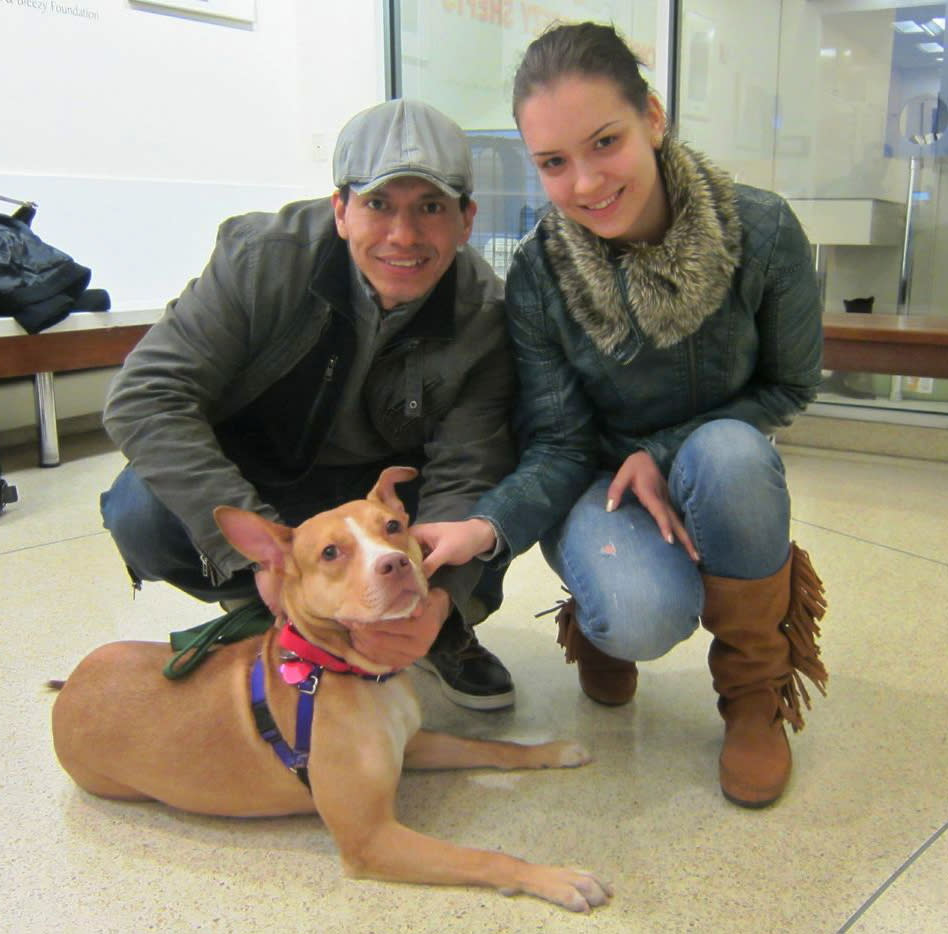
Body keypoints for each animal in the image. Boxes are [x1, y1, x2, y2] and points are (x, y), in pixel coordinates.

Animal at [51, 468, 612, 916]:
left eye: (393, 527)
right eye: (330, 552)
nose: (394, 564)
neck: (344, 671)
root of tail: (68, 687)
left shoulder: (413, 745)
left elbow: (489, 746)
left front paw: (550, 751)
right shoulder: (371, 839)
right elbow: (483, 855)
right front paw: (555, 877)